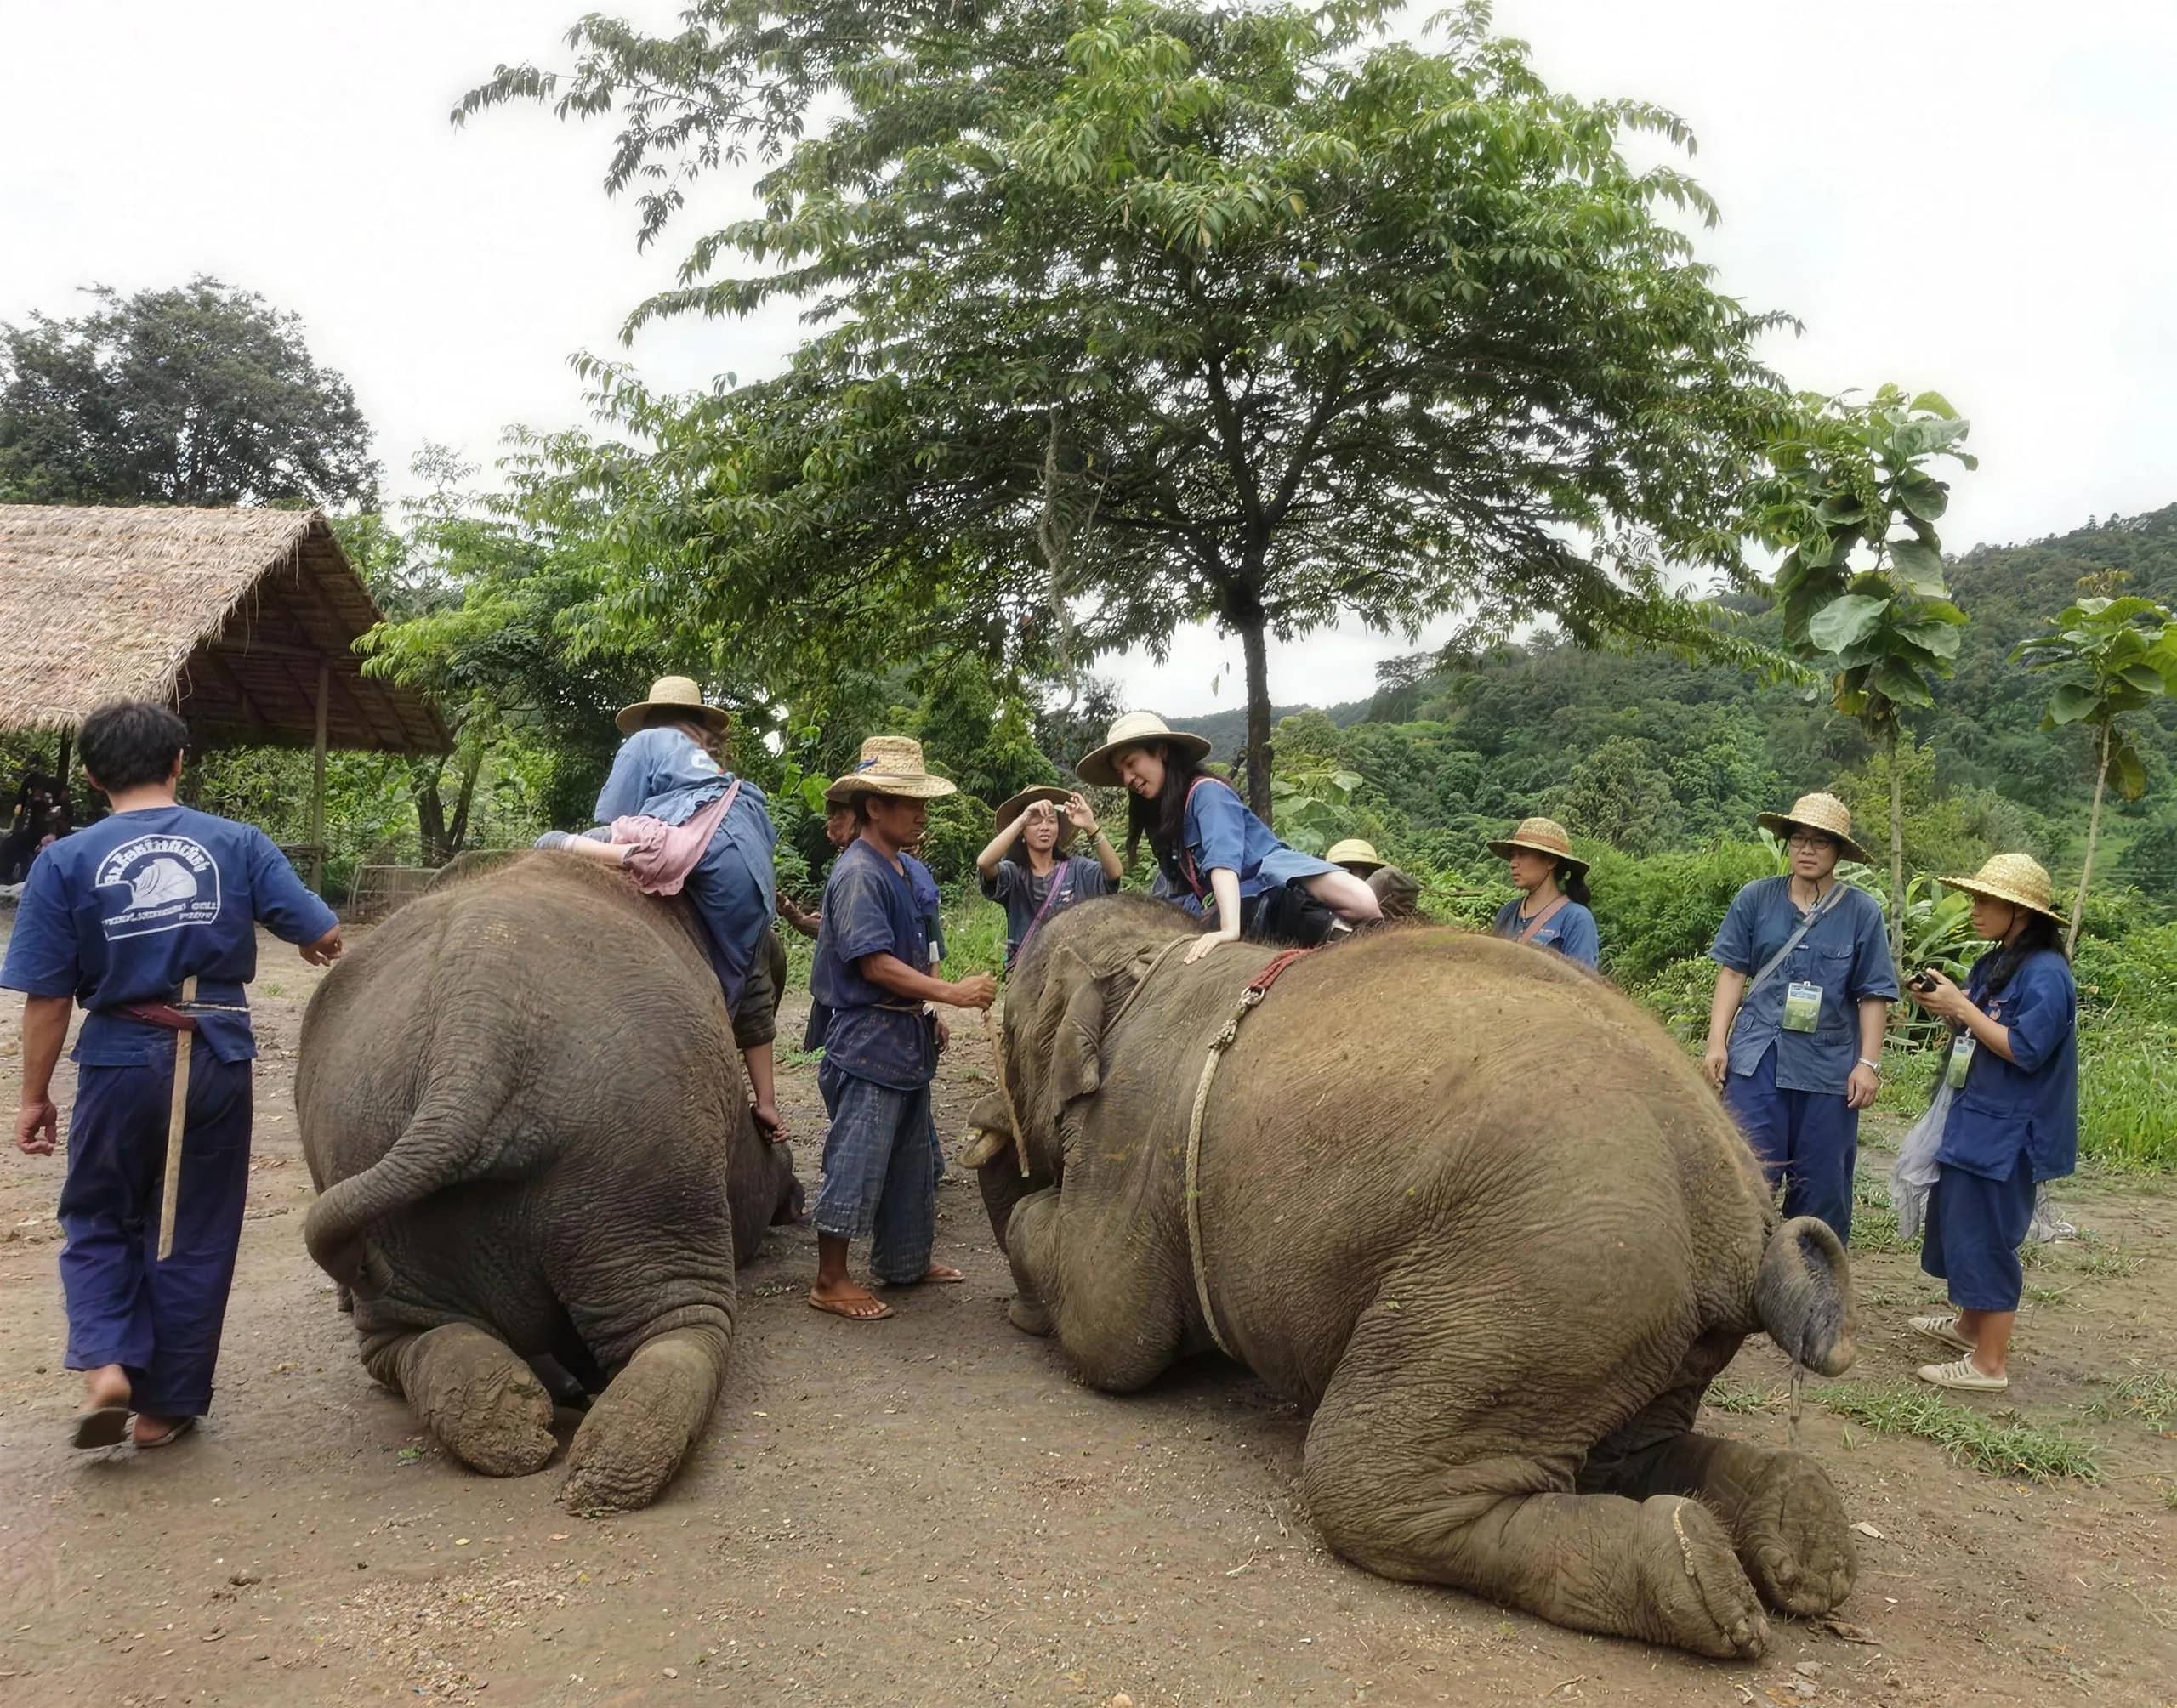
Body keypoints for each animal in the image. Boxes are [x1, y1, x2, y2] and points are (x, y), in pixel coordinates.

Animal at [296, 851, 801, 1512]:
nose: (359, 1267)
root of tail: (474, 1031)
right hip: (646, 1158)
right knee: (685, 1317)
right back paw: (601, 1461)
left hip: (366, 1138)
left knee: (408, 1329)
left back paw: (519, 1424)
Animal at [965, 895, 1859, 1660]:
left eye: (1006, 1029)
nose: (990, 1111)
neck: (1157, 953)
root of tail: (1744, 1222)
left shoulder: (1133, 1127)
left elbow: (1114, 1334)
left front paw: (1026, 1292)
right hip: (1624, 1327)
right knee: (1624, 1451)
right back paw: (1801, 1539)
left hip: (1531, 1295)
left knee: (1363, 1484)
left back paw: (1706, 1578)